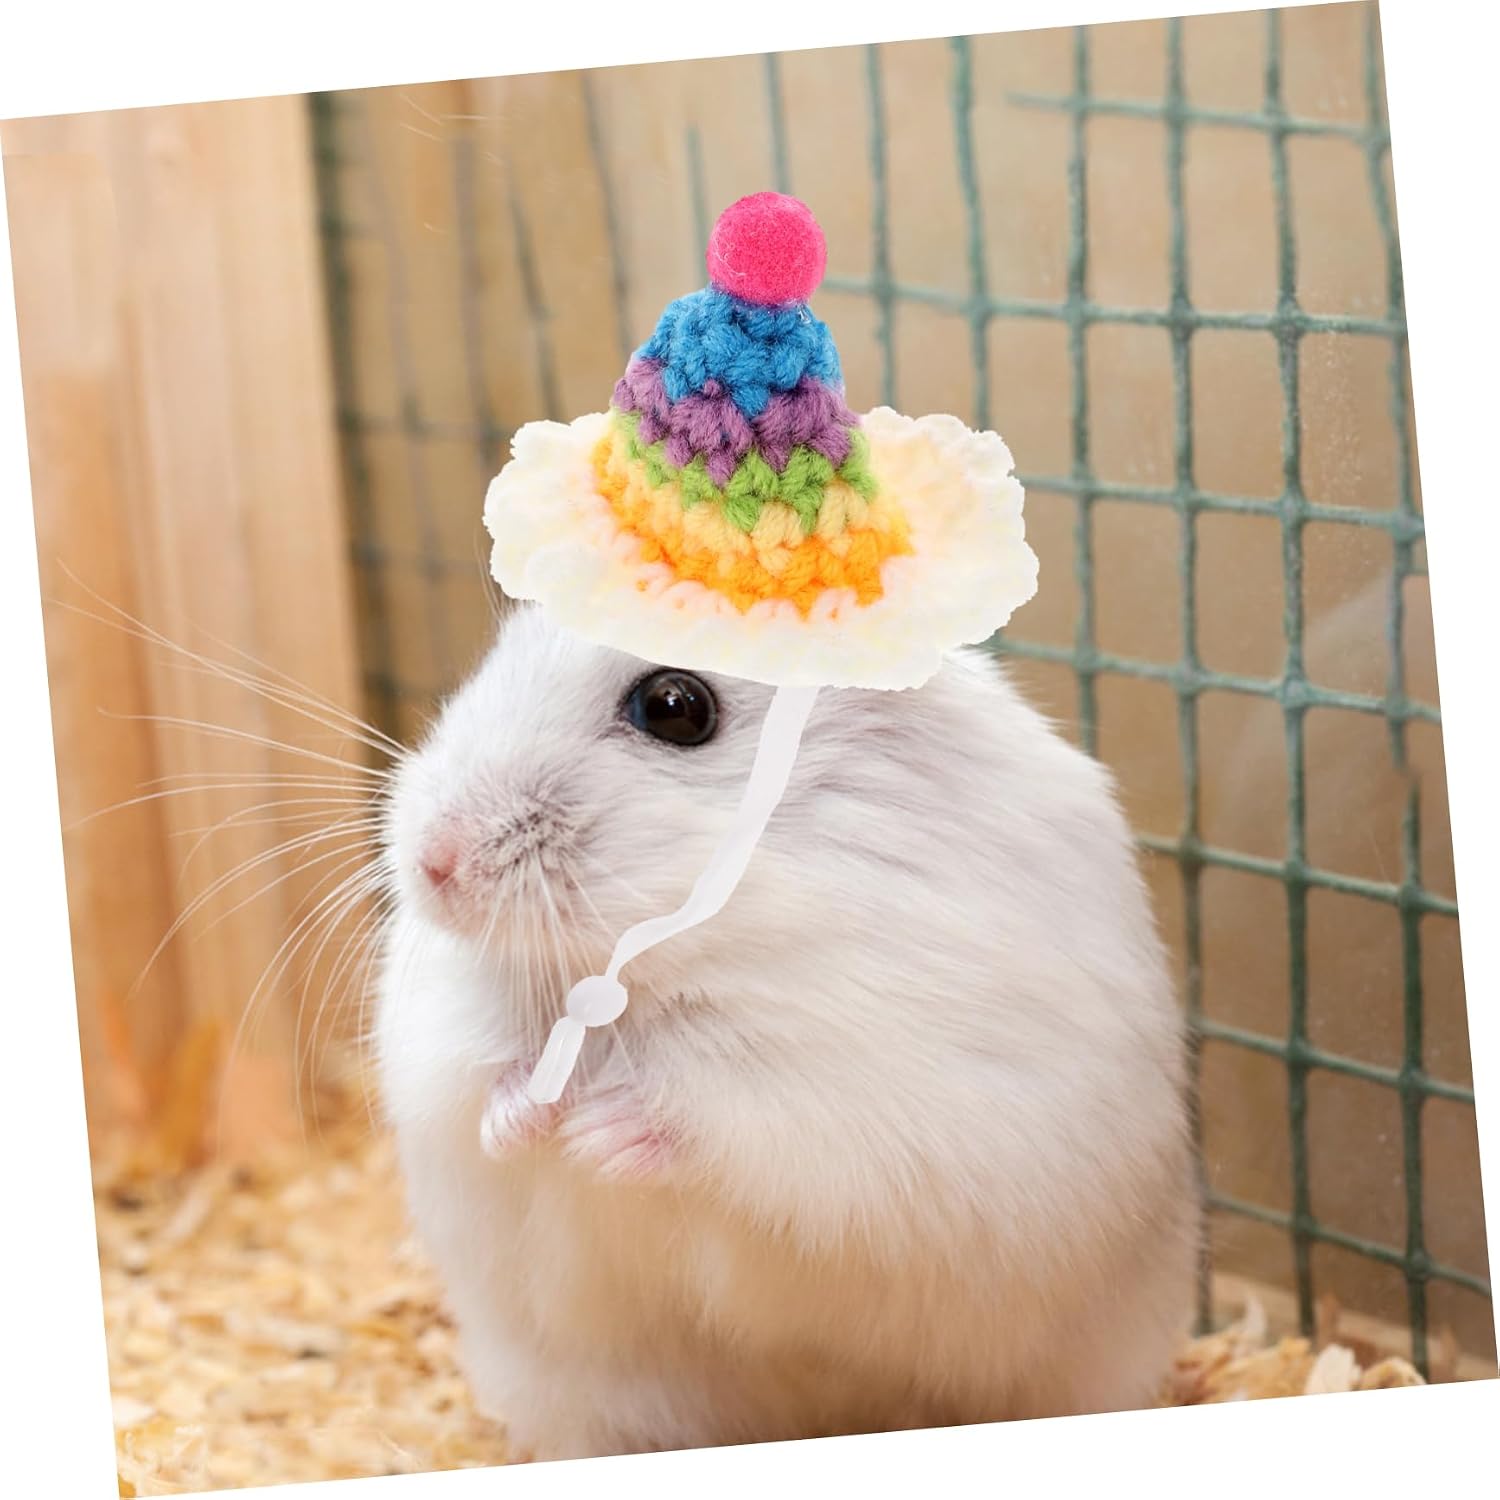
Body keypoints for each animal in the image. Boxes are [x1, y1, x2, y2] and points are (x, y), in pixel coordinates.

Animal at [374, 601, 1200, 1461]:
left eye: (674, 707)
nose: (433, 862)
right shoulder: (443, 1036)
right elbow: (479, 1080)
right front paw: (530, 1124)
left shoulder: (848, 1084)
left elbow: (721, 1107)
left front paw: (593, 1137)